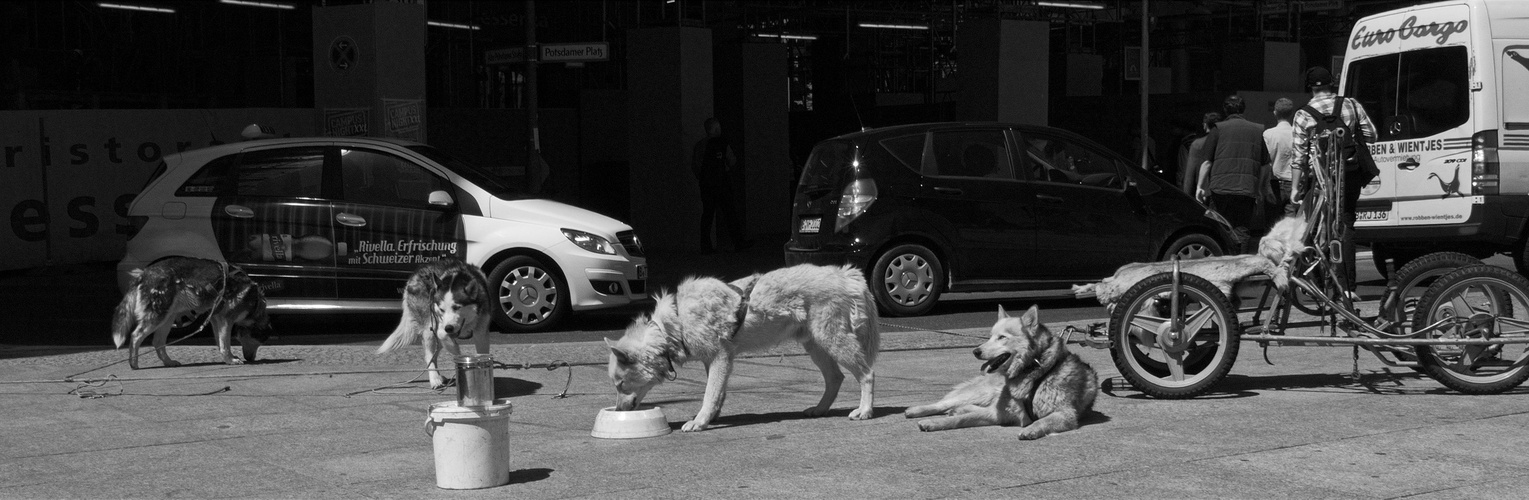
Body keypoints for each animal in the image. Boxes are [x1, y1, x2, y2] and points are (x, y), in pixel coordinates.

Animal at [111, 259, 270, 370]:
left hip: (168, 318)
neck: (256, 302)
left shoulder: (215, 319)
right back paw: (133, 363)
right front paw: (230, 360)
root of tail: (143, 274)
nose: (251, 359)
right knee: (136, 335)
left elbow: (220, 342)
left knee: (158, 342)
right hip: (158, 316)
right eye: (260, 341)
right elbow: (225, 343)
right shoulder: (226, 320)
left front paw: (226, 359)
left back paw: (168, 362)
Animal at [374, 259, 489, 389]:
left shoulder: (481, 332)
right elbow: (443, 336)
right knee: (429, 355)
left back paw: (439, 376)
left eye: (456, 307)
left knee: (434, 354)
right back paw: (435, 378)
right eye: (442, 309)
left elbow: (482, 351)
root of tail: (415, 274)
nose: (449, 328)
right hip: (429, 324)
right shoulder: (440, 326)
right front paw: (455, 350)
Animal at [602, 264, 880, 434]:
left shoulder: (720, 357)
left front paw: (700, 422)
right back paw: (820, 410)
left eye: (621, 385)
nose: (617, 412)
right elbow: (718, 393)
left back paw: (865, 411)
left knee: (867, 374)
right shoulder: (715, 362)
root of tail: (847, 274)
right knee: (836, 378)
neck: (674, 325)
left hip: (832, 341)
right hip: (816, 347)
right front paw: (711, 418)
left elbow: (710, 394)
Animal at [905, 305, 1100, 443]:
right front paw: (934, 423)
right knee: (943, 403)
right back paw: (917, 410)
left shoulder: (1065, 414)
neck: (1032, 372)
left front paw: (1031, 429)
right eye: (990, 336)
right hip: (982, 392)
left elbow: (1042, 421)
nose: (975, 351)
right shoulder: (999, 414)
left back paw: (959, 409)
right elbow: (961, 420)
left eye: (1002, 337)